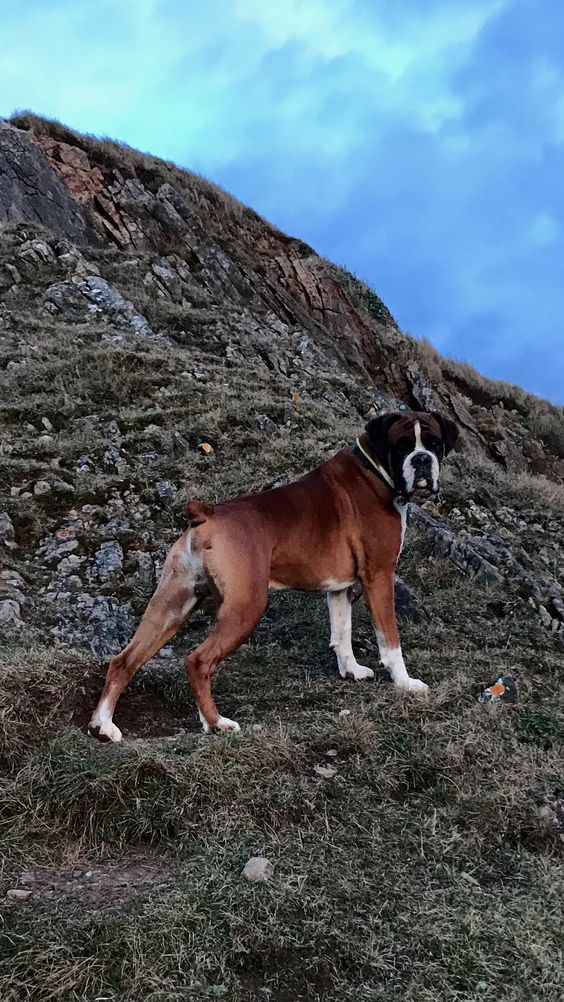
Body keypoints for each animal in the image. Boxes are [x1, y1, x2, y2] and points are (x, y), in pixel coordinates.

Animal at [89, 408, 458, 745]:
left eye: (434, 443)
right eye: (402, 445)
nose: (422, 460)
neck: (374, 471)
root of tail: (207, 514)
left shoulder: (339, 589)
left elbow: (341, 633)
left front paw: (351, 671)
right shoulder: (379, 576)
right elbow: (390, 640)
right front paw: (405, 683)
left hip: (171, 607)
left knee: (124, 661)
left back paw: (104, 724)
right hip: (245, 607)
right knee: (197, 661)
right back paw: (216, 723)